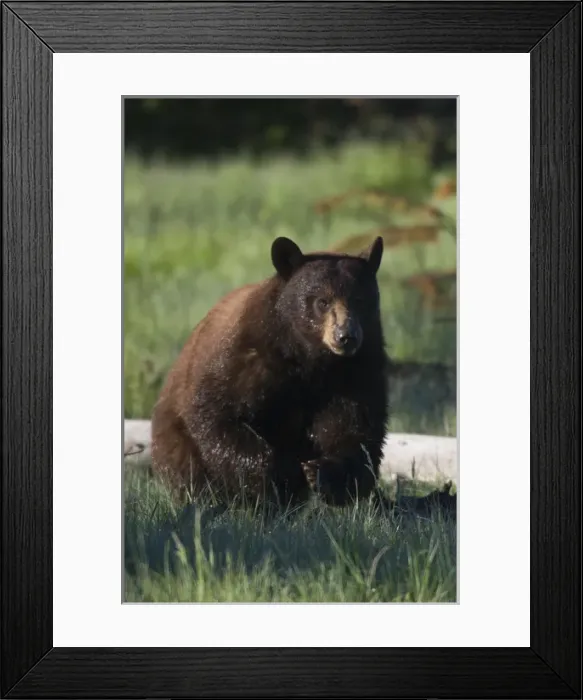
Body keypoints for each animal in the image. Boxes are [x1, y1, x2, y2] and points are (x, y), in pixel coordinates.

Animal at [150, 235, 390, 509]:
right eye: (322, 301)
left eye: (360, 300)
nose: (346, 336)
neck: (309, 358)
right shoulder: (245, 357)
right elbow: (218, 415)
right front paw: (277, 474)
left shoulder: (358, 370)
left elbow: (357, 428)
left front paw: (322, 473)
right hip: (173, 438)